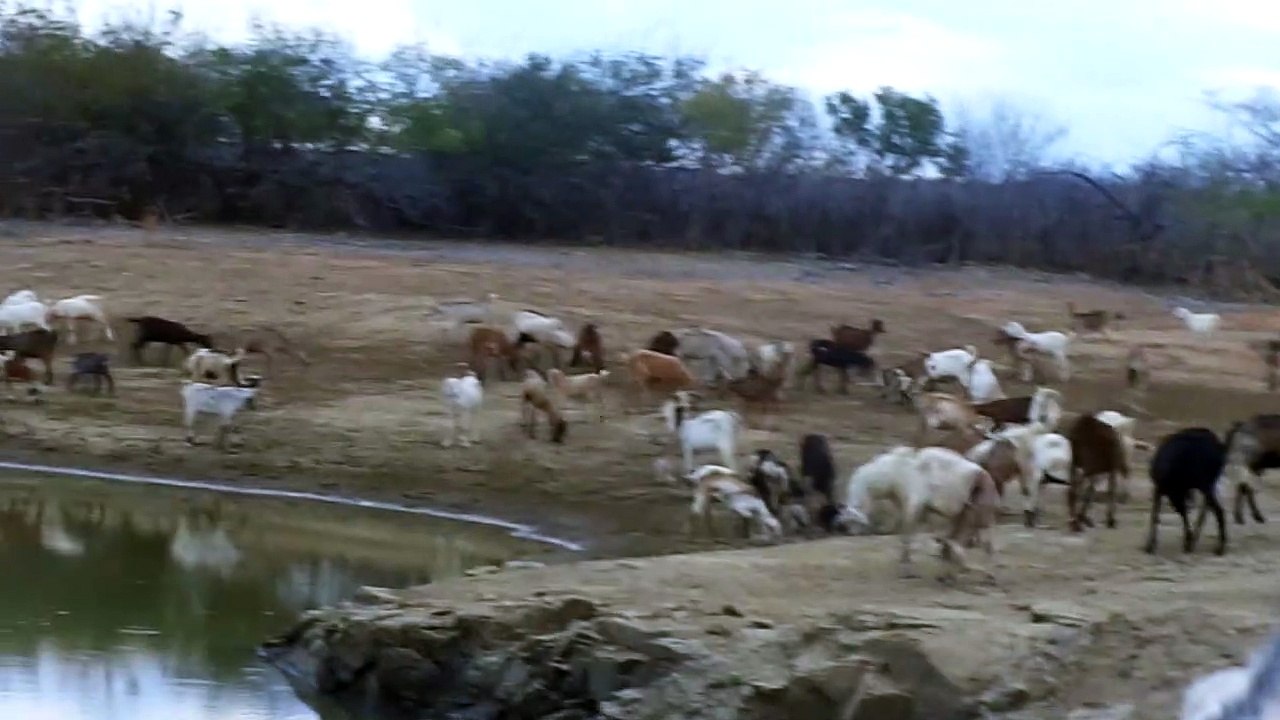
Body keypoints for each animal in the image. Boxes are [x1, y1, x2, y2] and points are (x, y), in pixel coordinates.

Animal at [833, 446, 998, 580]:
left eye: (851, 520)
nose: (852, 533)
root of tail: (985, 477)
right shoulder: (924, 511)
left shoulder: (914, 507)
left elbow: (907, 538)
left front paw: (907, 571)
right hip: (975, 516)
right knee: (980, 543)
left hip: (975, 513)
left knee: (976, 543)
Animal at [1144, 427, 1229, 556]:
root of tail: (1219, 447)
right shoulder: (1163, 490)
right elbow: (1158, 514)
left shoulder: (1170, 491)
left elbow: (1164, 514)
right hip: (1206, 485)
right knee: (1207, 509)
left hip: (1205, 484)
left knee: (1217, 509)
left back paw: (1218, 547)